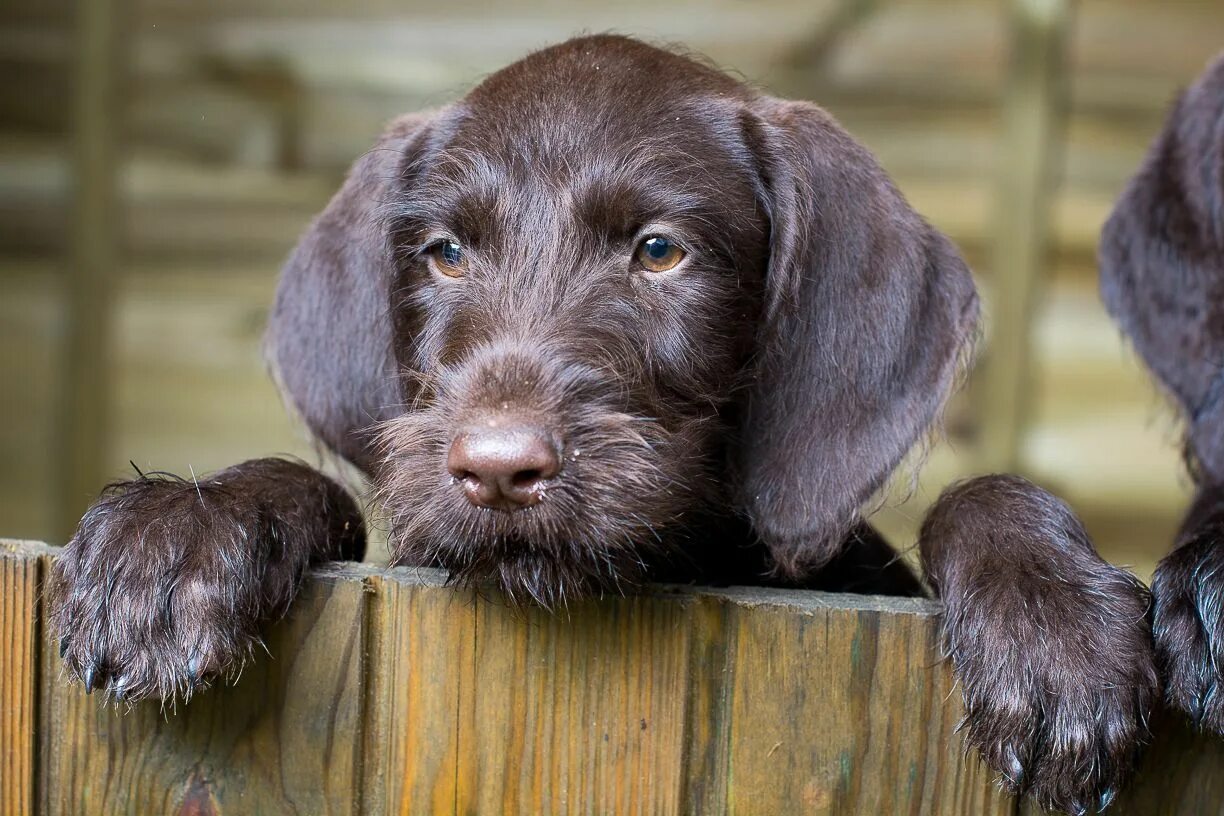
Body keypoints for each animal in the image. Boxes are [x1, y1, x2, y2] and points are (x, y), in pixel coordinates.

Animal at [47, 35, 1155, 812]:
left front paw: (1050, 619)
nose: (498, 470)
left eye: (660, 250)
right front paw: (187, 529)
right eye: (446, 252)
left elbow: (980, 492)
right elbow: (317, 491)